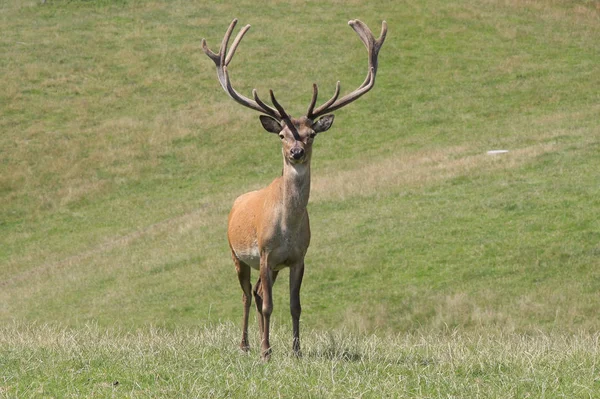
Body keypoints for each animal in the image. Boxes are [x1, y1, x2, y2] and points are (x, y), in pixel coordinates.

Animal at [203, 17, 390, 360]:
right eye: (282, 135)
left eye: (310, 134)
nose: (296, 152)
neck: (287, 228)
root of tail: (236, 203)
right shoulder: (265, 253)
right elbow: (268, 306)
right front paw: (266, 351)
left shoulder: (298, 256)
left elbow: (294, 305)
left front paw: (296, 350)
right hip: (236, 254)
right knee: (248, 296)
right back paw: (246, 344)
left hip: (270, 266)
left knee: (257, 293)